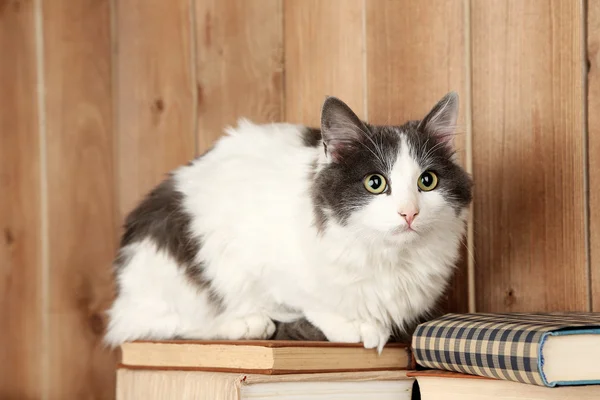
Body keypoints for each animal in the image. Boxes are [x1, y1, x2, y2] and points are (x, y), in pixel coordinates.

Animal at [104, 91, 474, 354]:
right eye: (375, 183)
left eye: (427, 181)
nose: (409, 213)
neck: (391, 258)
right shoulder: (254, 255)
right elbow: (309, 298)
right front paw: (355, 326)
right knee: (164, 323)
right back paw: (248, 324)